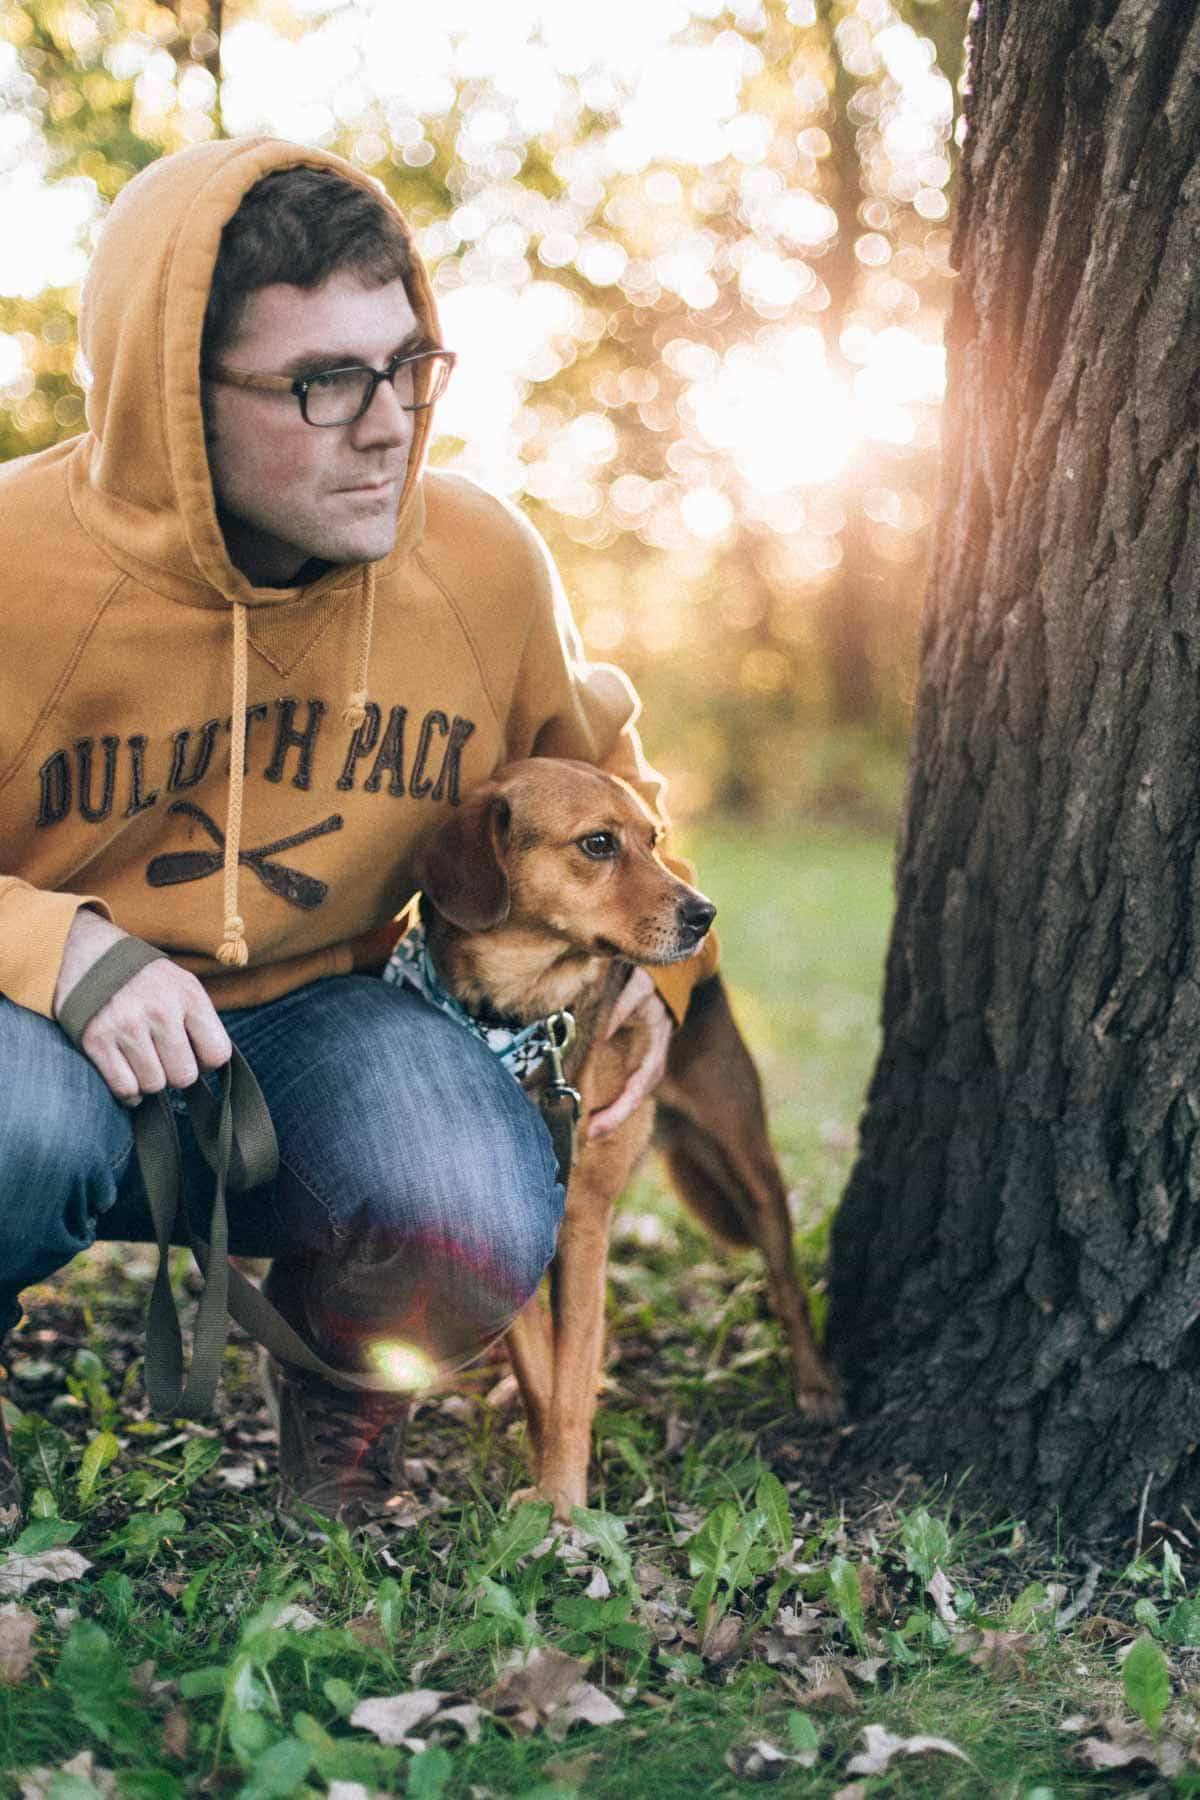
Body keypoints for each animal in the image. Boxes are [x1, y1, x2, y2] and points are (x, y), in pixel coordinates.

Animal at [410, 756, 834, 1519]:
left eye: (654, 837)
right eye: (599, 844)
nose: (705, 914)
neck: (521, 1019)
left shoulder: (583, 1219)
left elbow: (572, 1375)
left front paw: (564, 1501)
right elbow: (547, 1373)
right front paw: (545, 1472)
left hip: (751, 1167)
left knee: (787, 1286)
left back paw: (816, 1387)